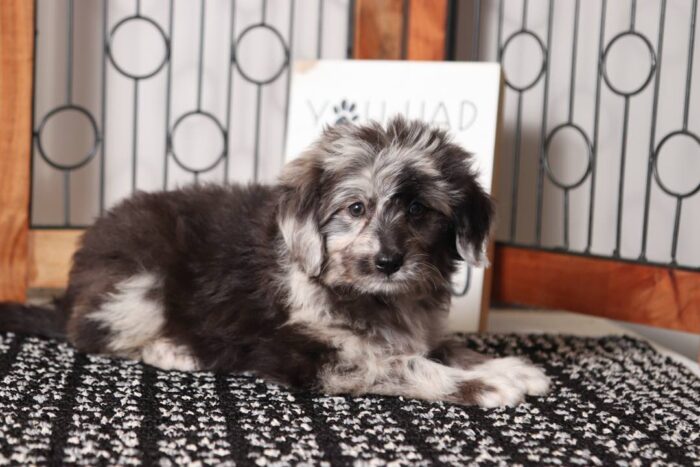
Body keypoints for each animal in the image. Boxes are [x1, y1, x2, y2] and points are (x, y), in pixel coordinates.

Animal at [0, 119, 548, 408]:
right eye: (356, 208)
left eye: (418, 210)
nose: (388, 262)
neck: (371, 298)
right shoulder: (313, 356)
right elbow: (403, 363)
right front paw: (487, 384)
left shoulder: (418, 327)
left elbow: (443, 346)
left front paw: (510, 366)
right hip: (140, 282)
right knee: (90, 332)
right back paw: (174, 349)